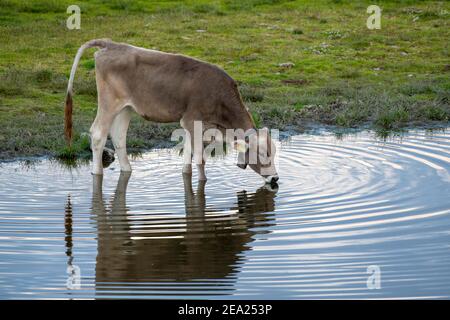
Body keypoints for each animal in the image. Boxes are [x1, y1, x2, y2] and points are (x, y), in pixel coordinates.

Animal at [64, 40, 278, 182]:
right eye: (262, 153)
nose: (275, 179)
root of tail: (111, 44)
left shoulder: (192, 123)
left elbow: (189, 157)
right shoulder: (193, 120)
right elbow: (199, 159)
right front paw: (203, 181)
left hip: (126, 107)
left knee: (118, 136)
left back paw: (126, 170)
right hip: (109, 102)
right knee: (98, 133)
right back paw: (97, 172)